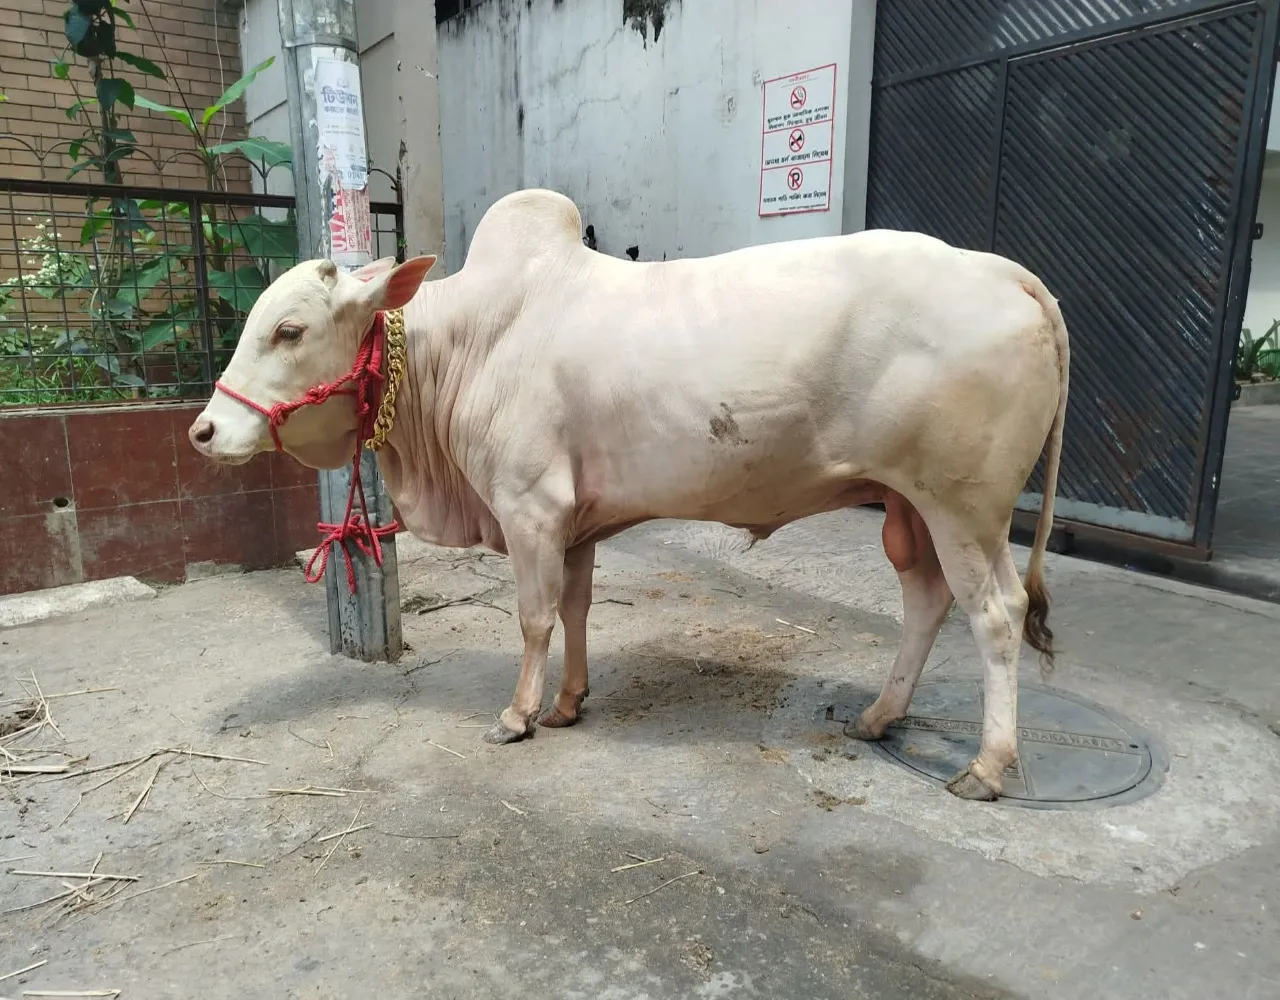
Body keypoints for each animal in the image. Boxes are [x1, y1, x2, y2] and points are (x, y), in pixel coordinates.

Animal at [188, 188, 1069, 802]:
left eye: (290, 330)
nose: (203, 431)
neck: (468, 344)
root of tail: (1004, 269)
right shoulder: (575, 524)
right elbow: (576, 610)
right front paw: (569, 702)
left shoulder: (530, 508)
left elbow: (534, 617)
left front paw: (518, 715)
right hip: (907, 506)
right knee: (926, 600)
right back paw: (882, 715)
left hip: (964, 506)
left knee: (996, 614)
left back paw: (989, 765)